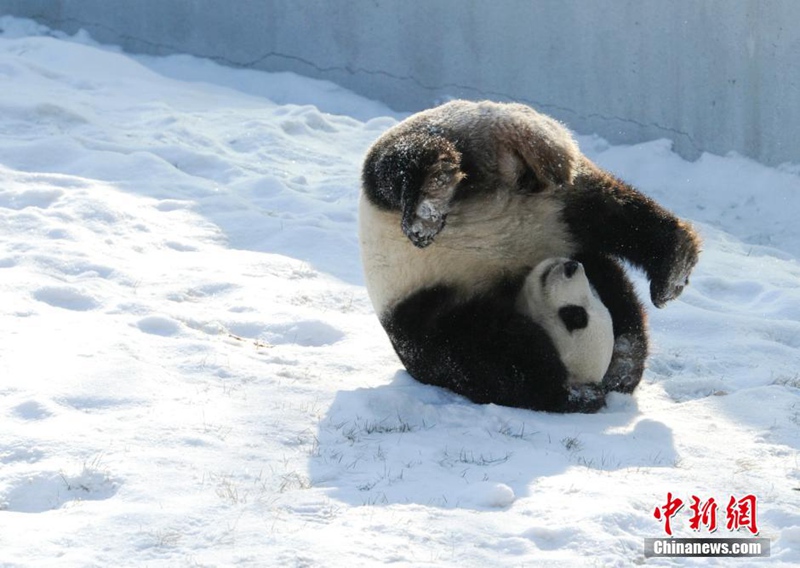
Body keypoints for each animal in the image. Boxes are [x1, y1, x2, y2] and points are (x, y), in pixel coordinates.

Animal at [359, 100, 700, 413]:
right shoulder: (432, 307)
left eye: (582, 307)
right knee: (401, 164)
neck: (516, 279)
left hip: (553, 209)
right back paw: (428, 200)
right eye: (576, 315)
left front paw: (609, 377)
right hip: (456, 142)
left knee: (613, 213)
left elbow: (492, 361)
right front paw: (585, 389)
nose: (570, 267)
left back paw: (675, 263)